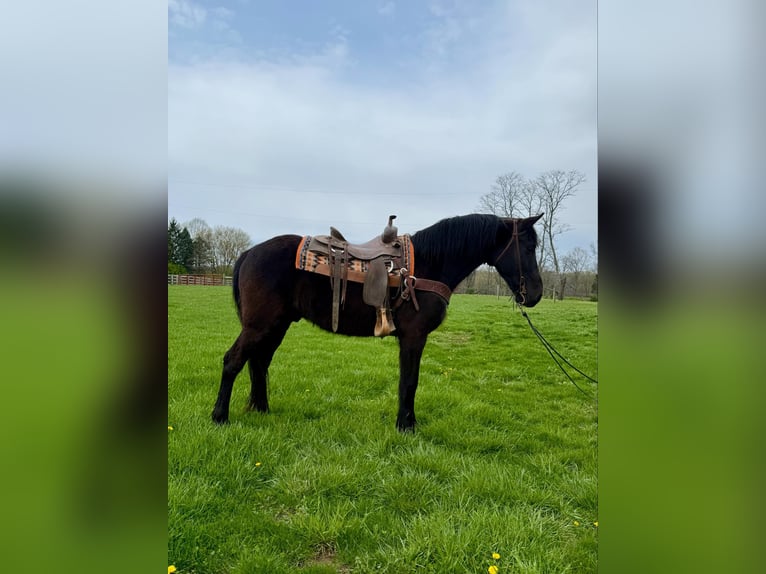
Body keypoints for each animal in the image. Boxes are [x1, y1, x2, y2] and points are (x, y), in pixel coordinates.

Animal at [211, 213, 544, 432]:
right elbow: (409, 381)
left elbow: (408, 381)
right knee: (233, 361)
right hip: (260, 326)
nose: (536, 294)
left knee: (259, 363)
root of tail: (249, 252)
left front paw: (407, 422)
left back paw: (262, 410)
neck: (428, 265)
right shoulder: (414, 337)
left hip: (276, 326)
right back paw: (219, 417)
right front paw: (406, 427)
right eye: (529, 247)